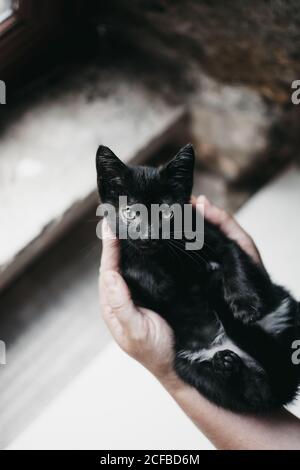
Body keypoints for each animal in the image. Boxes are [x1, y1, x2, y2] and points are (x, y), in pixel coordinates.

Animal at [96, 142, 300, 412]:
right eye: (129, 213)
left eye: (166, 212)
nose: (149, 235)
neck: (166, 257)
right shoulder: (122, 262)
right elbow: (130, 262)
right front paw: (160, 284)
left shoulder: (219, 239)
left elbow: (235, 261)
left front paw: (245, 303)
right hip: (187, 367)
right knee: (255, 395)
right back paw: (228, 366)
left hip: (286, 311)